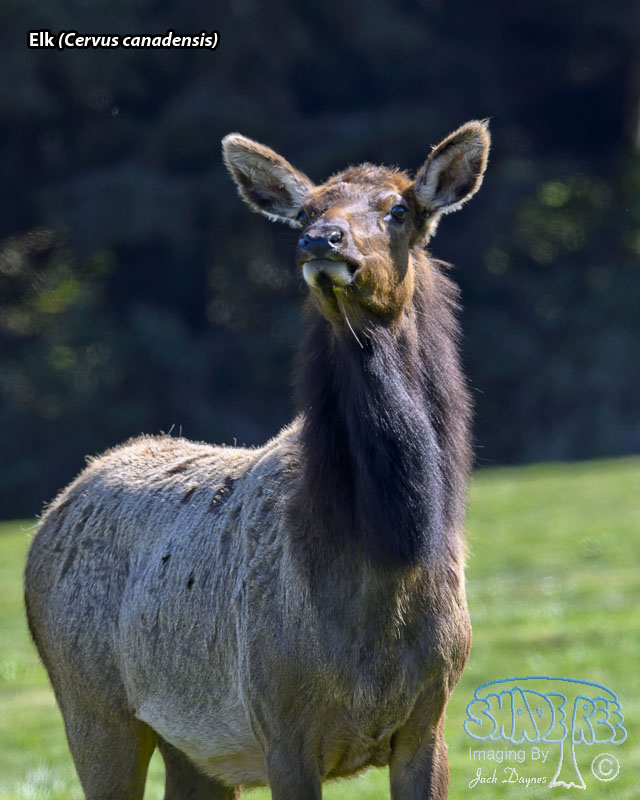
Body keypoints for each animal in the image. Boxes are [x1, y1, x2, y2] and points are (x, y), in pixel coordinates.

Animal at [24, 120, 490, 800]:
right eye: (307, 209)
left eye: (399, 209)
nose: (320, 239)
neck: (382, 558)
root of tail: (53, 512)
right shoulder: (279, 723)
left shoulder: (429, 719)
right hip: (91, 707)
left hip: (192, 748)